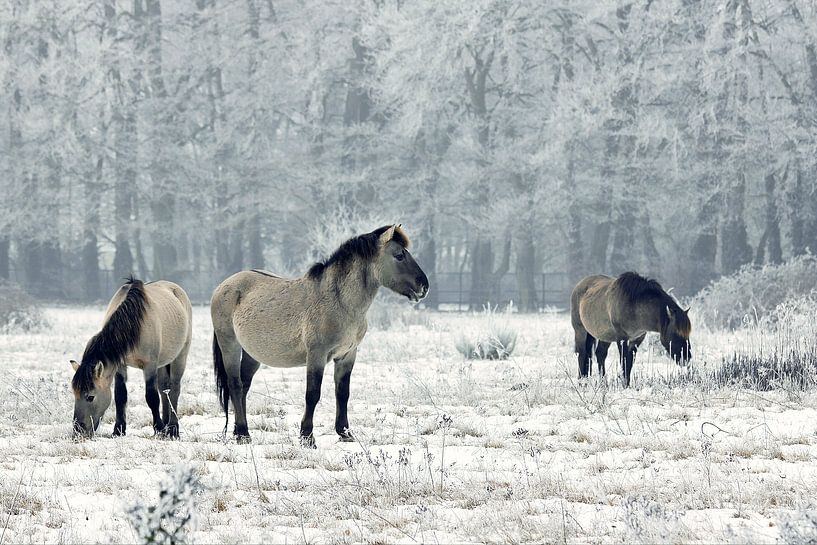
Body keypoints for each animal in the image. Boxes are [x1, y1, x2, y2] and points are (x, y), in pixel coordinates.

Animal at [70, 277, 192, 439]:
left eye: (90, 397)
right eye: (74, 393)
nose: (78, 431)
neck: (133, 325)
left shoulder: (150, 365)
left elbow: (152, 397)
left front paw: (158, 429)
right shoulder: (120, 365)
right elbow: (120, 396)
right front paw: (118, 430)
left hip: (180, 356)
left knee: (174, 389)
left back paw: (172, 429)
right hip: (162, 364)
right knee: (164, 389)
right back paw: (166, 424)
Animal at [211, 224, 429, 446]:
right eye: (399, 255)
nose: (424, 286)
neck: (339, 301)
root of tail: (223, 286)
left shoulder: (347, 355)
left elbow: (343, 393)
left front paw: (345, 433)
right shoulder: (317, 355)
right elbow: (312, 394)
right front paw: (307, 437)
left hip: (252, 353)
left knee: (244, 386)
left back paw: (238, 431)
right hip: (229, 344)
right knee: (235, 385)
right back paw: (244, 433)